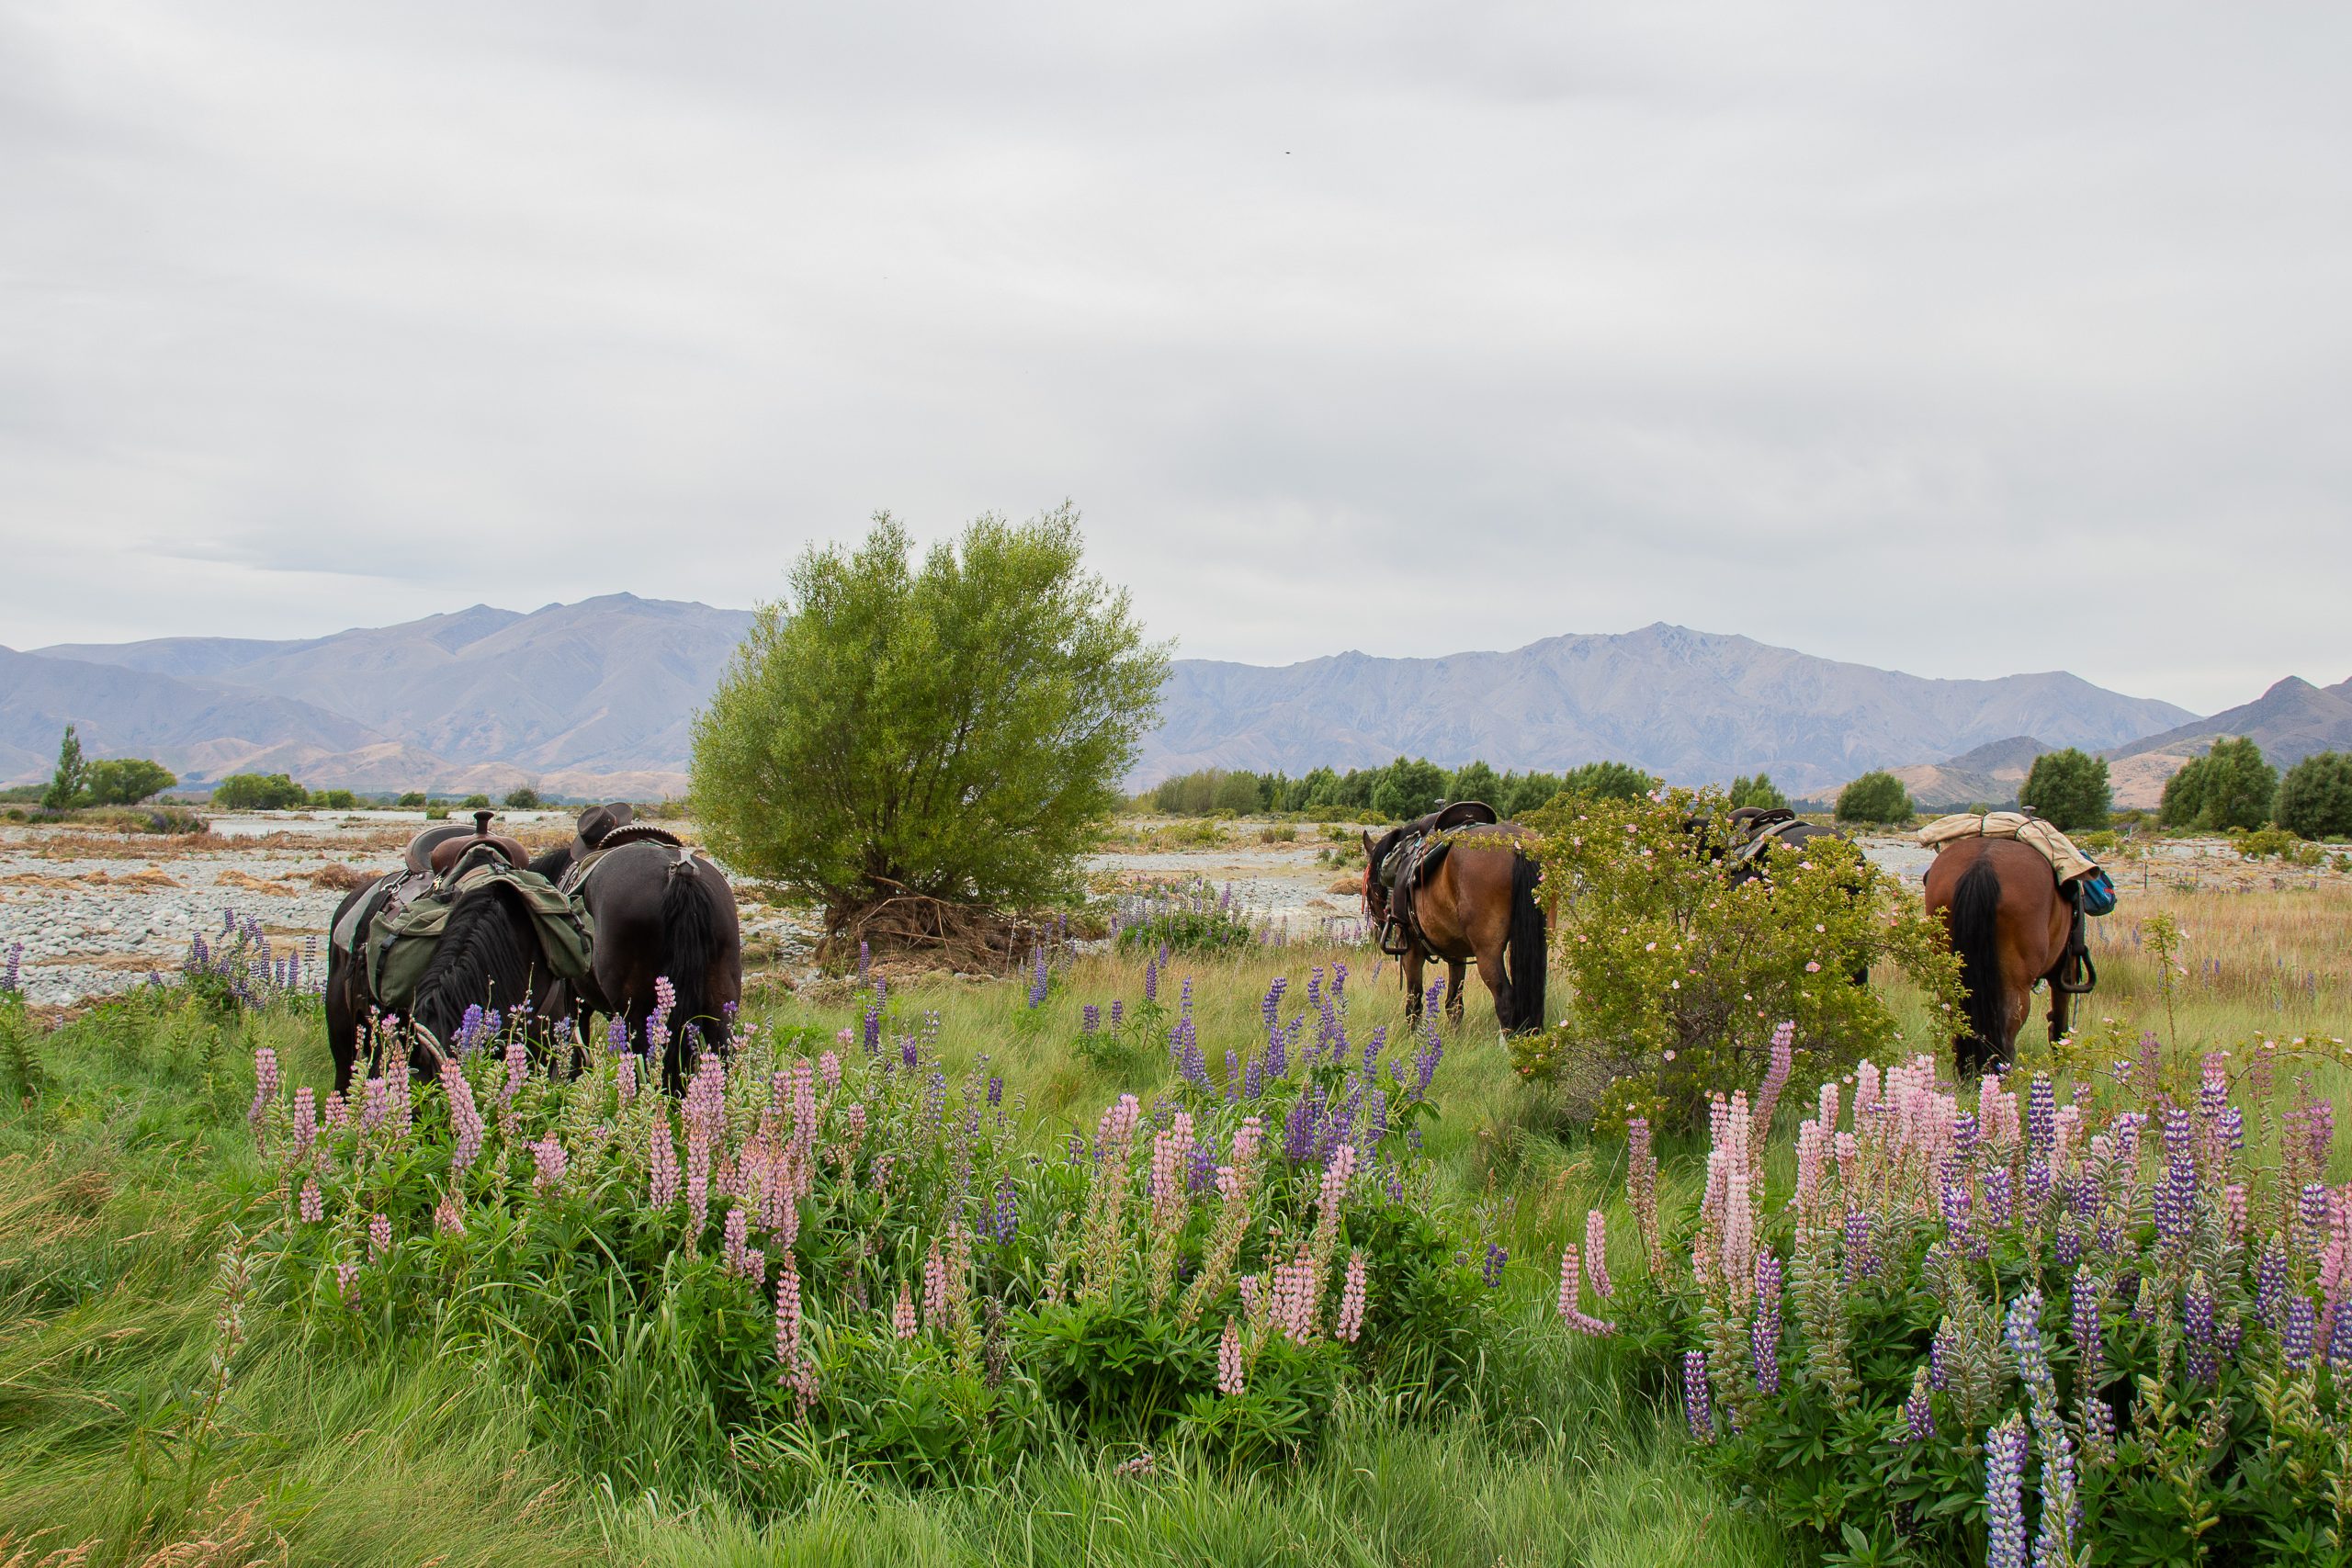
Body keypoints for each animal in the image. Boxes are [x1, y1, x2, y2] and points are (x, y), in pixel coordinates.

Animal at [529, 804, 743, 1090]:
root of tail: (679, 872)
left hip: (638, 1009)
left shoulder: (575, 999)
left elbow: (577, 1052)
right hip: (721, 1000)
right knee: (721, 1056)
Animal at [1361, 815, 1547, 1035]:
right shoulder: (1457, 956)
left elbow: (1414, 1002)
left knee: (1505, 1000)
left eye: (1371, 887)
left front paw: (1413, 1038)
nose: (1377, 930)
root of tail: (1518, 845)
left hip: (1488, 953)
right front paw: (1453, 1037)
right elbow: (1454, 1003)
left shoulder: (1412, 950)